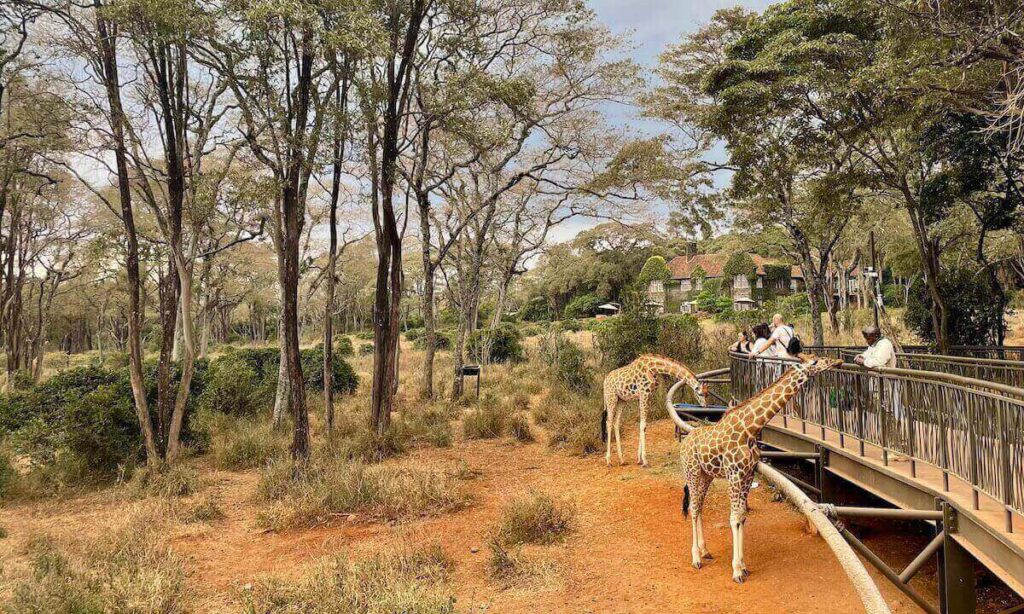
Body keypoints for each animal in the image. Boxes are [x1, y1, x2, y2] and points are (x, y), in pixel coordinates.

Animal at [680, 354, 841, 583]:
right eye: (815, 362)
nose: (837, 362)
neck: (750, 428)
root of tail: (684, 443)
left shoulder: (748, 474)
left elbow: (742, 517)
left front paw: (743, 566)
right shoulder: (734, 474)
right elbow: (734, 518)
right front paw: (736, 571)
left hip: (706, 475)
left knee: (699, 506)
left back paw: (705, 551)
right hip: (691, 471)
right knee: (693, 508)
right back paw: (696, 559)